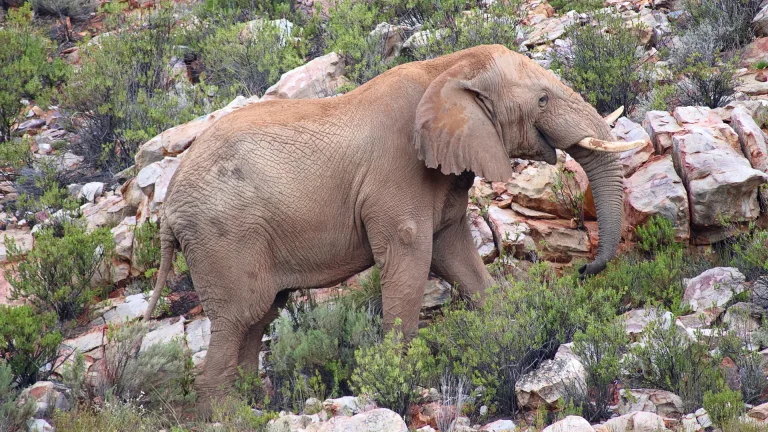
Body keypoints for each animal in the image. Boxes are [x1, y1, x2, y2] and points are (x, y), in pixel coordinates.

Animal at [142, 44, 643, 407]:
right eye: (542, 99)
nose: (586, 270)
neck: (446, 68)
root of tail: (168, 209)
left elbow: (456, 256)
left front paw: (517, 331)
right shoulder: (398, 174)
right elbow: (411, 259)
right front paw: (401, 380)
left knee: (258, 317)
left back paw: (254, 410)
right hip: (223, 237)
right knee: (238, 318)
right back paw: (231, 416)